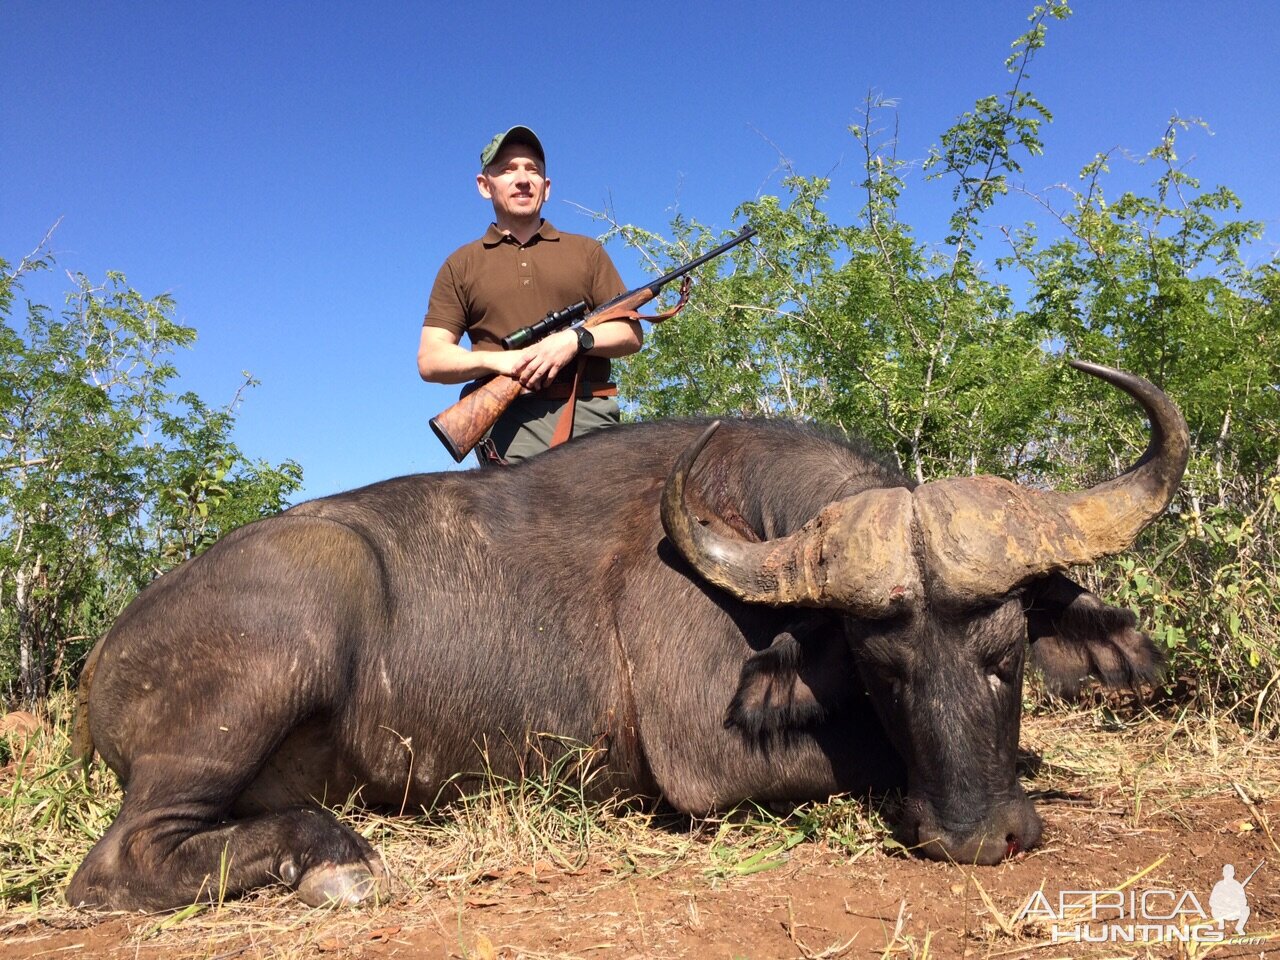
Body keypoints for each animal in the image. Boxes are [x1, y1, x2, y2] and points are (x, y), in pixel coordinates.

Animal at [67, 360, 1187, 911]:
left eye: (1006, 654)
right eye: (881, 667)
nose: (975, 837)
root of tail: (107, 656)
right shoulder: (706, 763)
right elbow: (861, 761)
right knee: (115, 865)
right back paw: (330, 860)